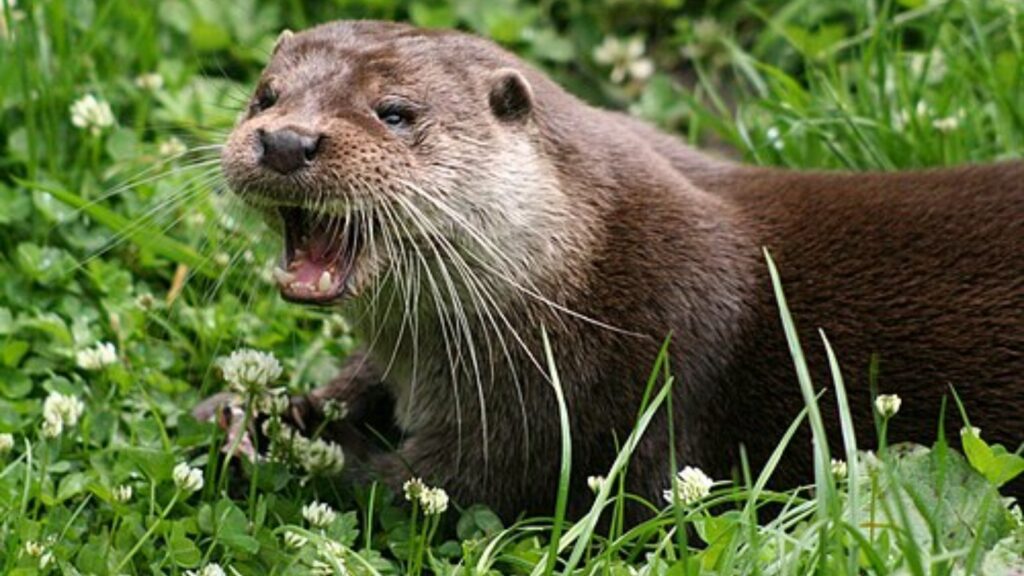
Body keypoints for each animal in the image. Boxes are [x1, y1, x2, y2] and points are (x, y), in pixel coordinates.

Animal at [203, 20, 1023, 520]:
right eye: (264, 96)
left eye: (396, 112)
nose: (284, 140)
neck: (580, 285)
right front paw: (262, 406)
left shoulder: (570, 410)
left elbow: (413, 485)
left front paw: (275, 442)